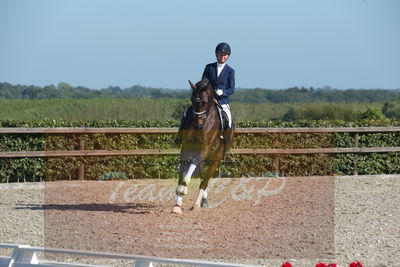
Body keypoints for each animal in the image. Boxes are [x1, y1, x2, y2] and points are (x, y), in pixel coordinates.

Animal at [173, 77, 234, 214]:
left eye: (205, 101)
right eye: (192, 100)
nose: (198, 124)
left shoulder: (205, 147)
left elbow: (192, 165)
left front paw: (182, 189)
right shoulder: (186, 147)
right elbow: (183, 169)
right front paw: (177, 205)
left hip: (217, 156)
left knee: (205, 180)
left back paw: (196, 204)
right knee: (201, 175)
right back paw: (203, 201)